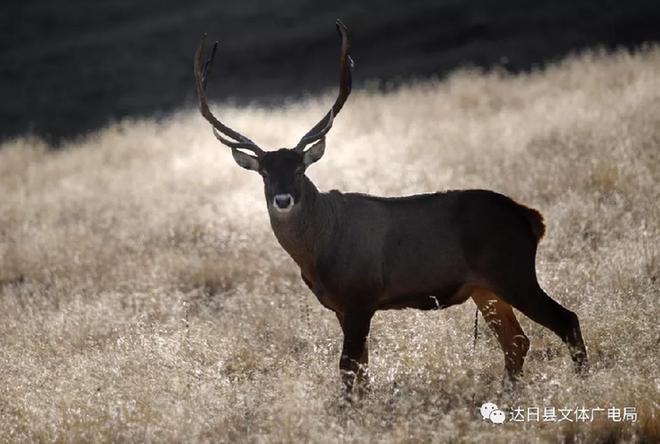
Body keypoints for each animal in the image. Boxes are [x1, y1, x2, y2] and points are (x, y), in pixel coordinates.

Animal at [191, 20, 588, 396]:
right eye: (265, 173)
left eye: (301, 169)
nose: (283, 199)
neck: (320, 250)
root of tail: (533, 219)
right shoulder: (342, 305)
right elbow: (361, 369)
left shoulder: (360, 295)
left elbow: (348, 367)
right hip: (485, 287)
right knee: (517, 341)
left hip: (512, 271)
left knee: (566, 320)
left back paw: (582, 382)